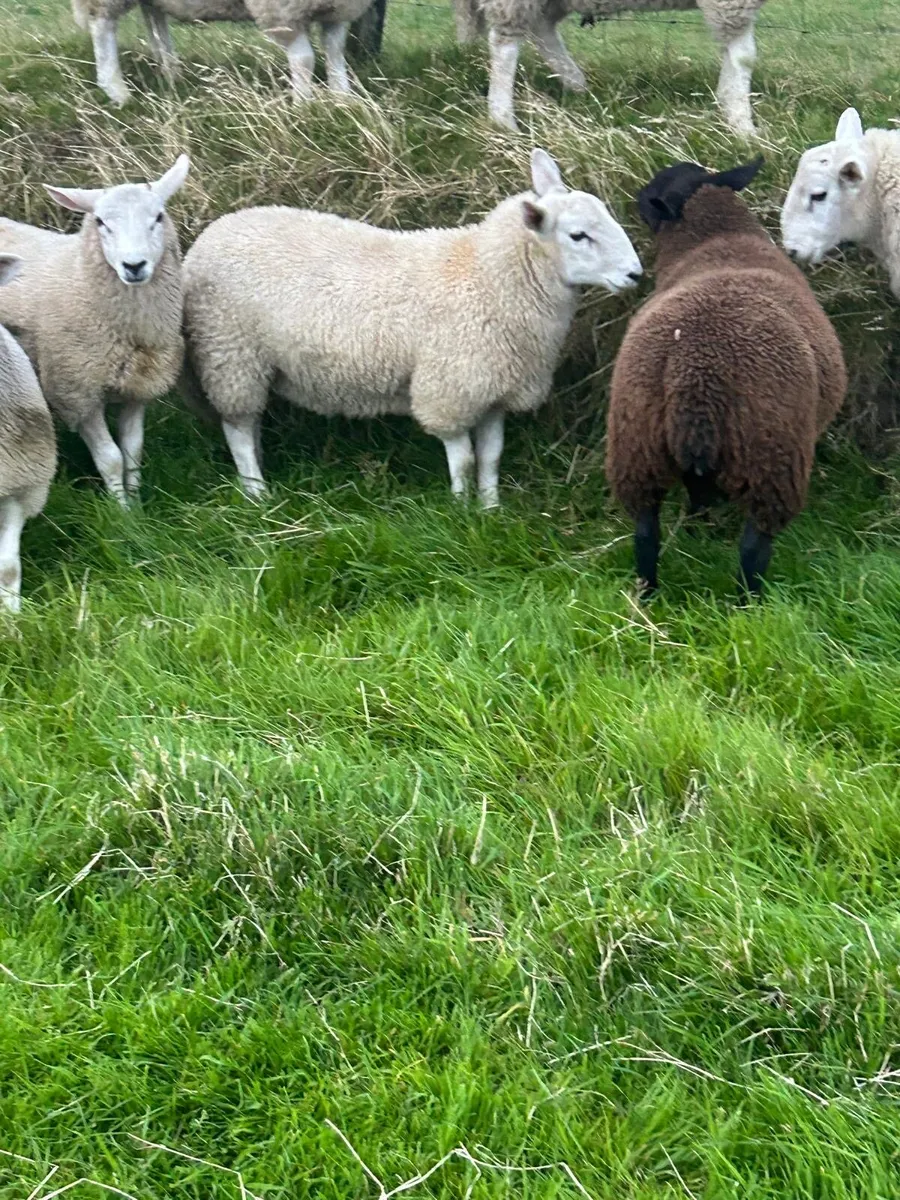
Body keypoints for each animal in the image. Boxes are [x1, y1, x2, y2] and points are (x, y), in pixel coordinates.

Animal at [0, 156, 189, 505]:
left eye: (158, 217)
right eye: (101, 222)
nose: (134, 266)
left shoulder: (138, 386)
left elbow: (132, 450)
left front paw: (137, 501)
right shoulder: (77, 392)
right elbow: (110, 457)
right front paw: (123, 509)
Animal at [72, 0, 375, 108]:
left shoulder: (338, 11)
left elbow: (335, 52)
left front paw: (343, 98)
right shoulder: (283, 11)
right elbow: (304, 59)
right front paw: (304, 106)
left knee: (154, 17)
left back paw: (171, 70)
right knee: (102, 25)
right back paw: (116, 89)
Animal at [182, 148, 642, 506]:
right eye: (578, 235)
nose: (635, 274)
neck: (488, 278)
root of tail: (210, 234)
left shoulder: (493, 386)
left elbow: (492, 455)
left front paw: (492, 507)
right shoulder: (449, 388)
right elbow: (465, 459)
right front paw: (462, 510)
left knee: (249, 424)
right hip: (230, 353)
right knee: (238, 428)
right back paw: (256, 491)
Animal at [454, 0, 766, 135]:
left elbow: (735, 54)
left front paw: (728, 105)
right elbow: (744, 56)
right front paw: (744, 127)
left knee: (541, 27)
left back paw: (576, 83)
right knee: (504, 43)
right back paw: (502, 119)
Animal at [605, 156, 847, 599]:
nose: (636, 200)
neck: (719, 238)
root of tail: (694, 371)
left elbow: (697, 490)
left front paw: (698, 528)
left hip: (636, 444)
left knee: (646, 532)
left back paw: (647, 594)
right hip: (773, 454)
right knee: (754, 545)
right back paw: (750, 603)